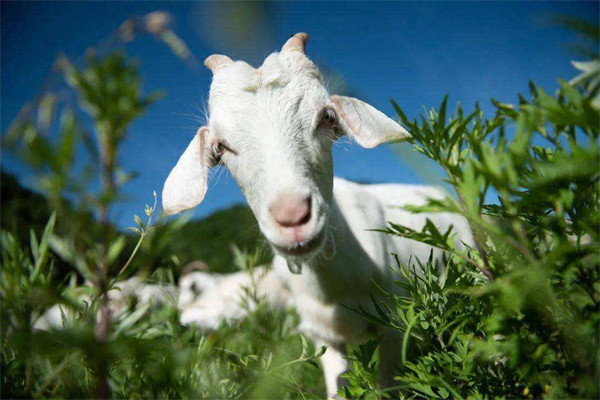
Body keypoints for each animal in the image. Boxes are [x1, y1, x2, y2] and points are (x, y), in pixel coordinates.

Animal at [163, 33, 474, 396]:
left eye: (327, 116)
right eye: (221, 146)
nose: (293, 217)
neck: (332, 287)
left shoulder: (394, 326)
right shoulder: (324, 339)